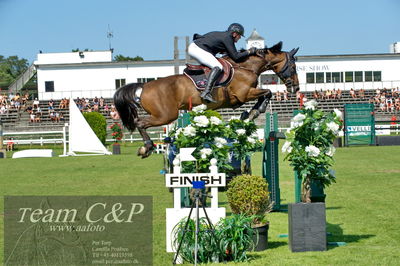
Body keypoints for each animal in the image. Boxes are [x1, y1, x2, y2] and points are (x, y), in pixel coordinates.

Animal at [114, 41, 298, 158]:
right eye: (293, 66)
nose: (295, 89)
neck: (245, 67)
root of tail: (144, 86)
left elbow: (266, 93)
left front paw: (249, 114)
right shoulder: (244, 94)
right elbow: (267, 92)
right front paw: (254, 112)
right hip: (166, 115)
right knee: (139, 123)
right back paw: (147, 147)